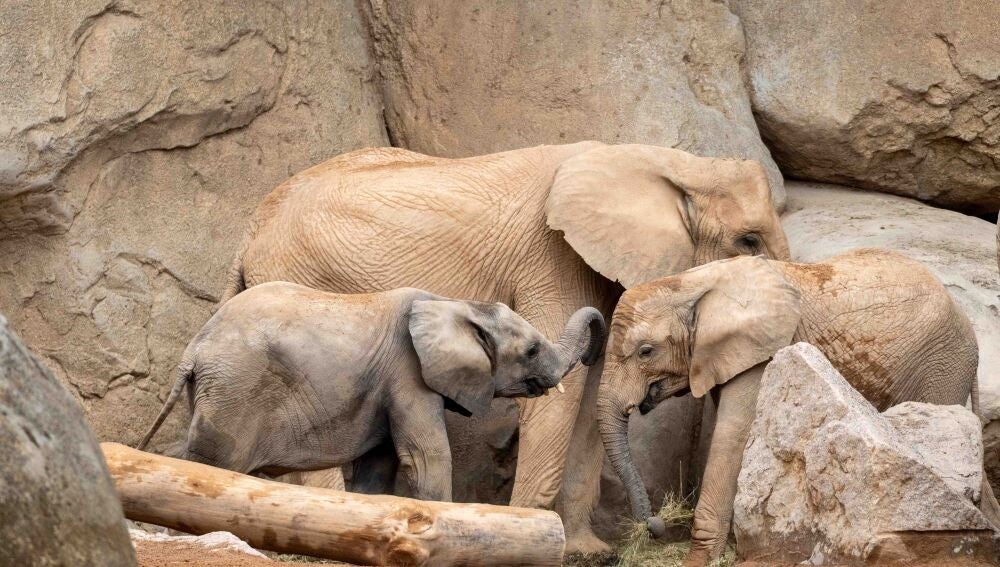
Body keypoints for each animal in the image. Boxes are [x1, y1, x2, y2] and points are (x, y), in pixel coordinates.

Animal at [138, 282, 605, 501]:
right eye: (531, 350)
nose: (595, 351)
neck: (454, 303)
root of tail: (194, 348)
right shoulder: (408, 374)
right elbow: (426, 457)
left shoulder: (387, 386)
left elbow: (378, 468)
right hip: (236, 386)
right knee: (214, 460)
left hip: (217, 389)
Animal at [217, 141, 789, 551]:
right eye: (748, 242)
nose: (657, 527)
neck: (669, 162)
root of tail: (249, 230)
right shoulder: (552, 257)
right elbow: (563, 394)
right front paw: (534, 535)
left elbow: (590, 392)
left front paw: (585, 552)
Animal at [597, 248, 1000, 566]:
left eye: (645, 352)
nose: (655, 526)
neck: (691, 283)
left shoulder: (764, 349)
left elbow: (732, 436)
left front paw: (698, 561)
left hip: (941, 368)